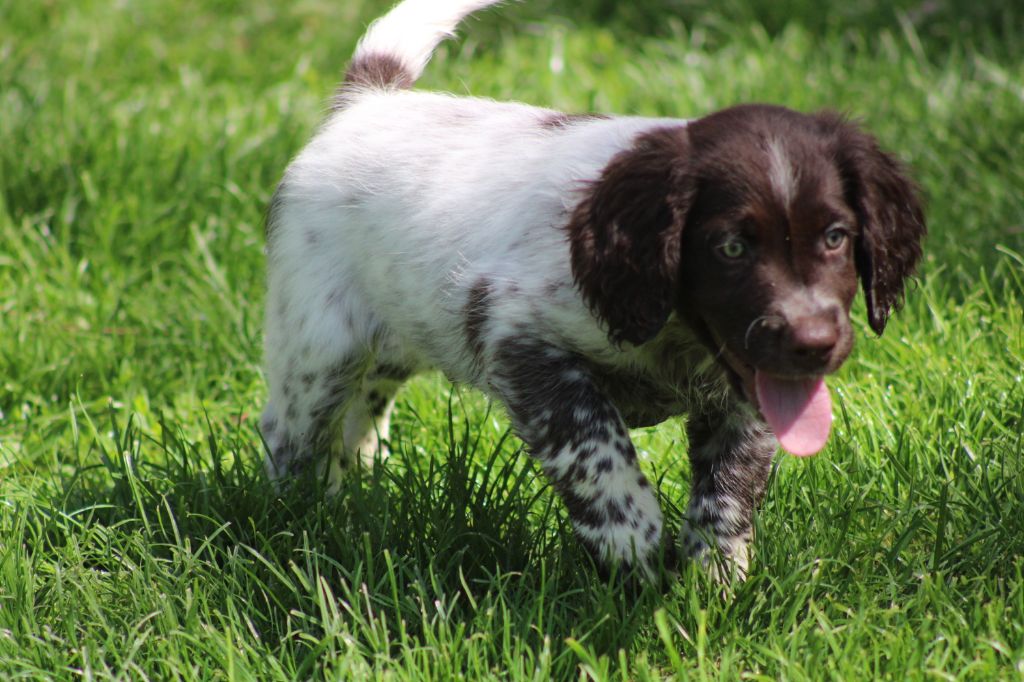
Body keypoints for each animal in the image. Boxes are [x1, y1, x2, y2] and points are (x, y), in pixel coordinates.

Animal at [260, 0, 925, 578]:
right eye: (731, 248)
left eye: (836, 237)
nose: (814, 344)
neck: (671, 330)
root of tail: (367, 101)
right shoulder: (519, 338)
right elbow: (593, 442)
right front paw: (630, 541)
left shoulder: (747, 385)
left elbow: (732, 481)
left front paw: (714, 577)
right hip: (318, 346)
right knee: (288, 432)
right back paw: (298, 516)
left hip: (400, 328)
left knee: (366, 405)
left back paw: (357, 485)